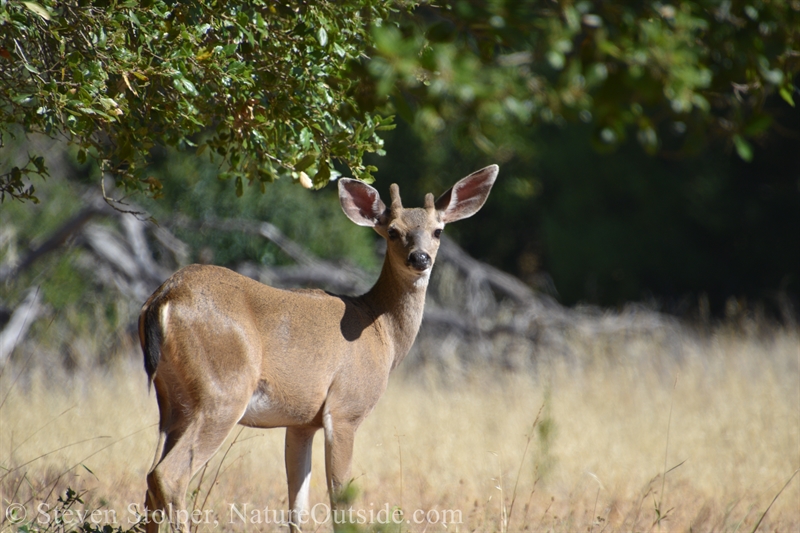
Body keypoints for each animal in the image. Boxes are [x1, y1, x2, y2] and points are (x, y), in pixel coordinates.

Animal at [140, 164, 496, 528]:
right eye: (393, 231)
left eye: (438, 231)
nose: (420, 258)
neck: (381, 331)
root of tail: (164, 298)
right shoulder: (345, 408)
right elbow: (341, 504)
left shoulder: (301, 422)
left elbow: (297, 509)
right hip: (223, 391)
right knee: (168, 476)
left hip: (173, 402)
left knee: (151, 482)